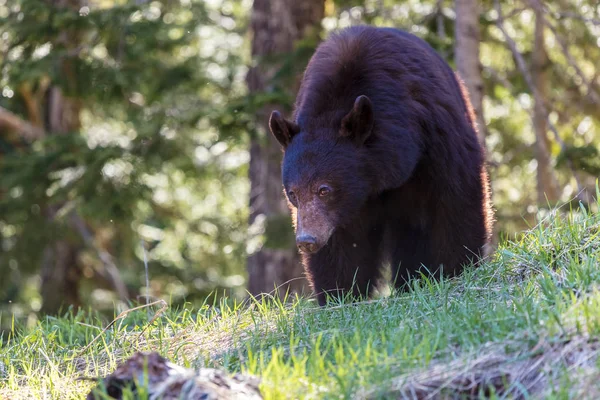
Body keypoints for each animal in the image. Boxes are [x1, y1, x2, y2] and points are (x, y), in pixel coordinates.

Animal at [270, 25, 494, 306]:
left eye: (324, 189)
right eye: (292, 193)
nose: (306, 240)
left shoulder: (436, 139)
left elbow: (455, 203)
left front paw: (457, 270)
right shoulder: (343, 210)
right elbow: (341, 244)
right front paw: (338, 295)